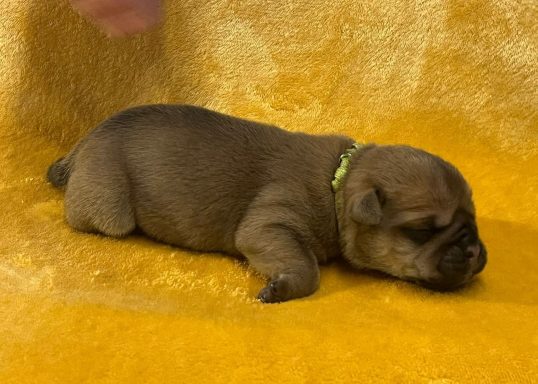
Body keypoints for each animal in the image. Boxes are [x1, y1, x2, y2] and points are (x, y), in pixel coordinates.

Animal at [47, 103, 486, 302]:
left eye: (474, 219)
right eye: (421, 231)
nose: (472, 250)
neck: (338, 181)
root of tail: (83, 143)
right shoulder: (270, 224)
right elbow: (306, 268)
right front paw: (280, 288)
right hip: (108, 206)